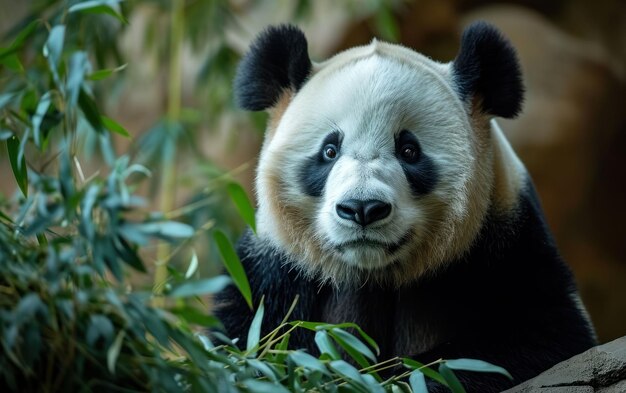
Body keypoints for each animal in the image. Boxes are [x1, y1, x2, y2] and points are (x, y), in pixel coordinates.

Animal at [213, 23, 596, 390]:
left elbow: (541, 332)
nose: (362, 208)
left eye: (409, 150)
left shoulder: (508, 240)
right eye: (329, 150)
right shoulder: (275, 265)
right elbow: (250, 341)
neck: (377, 273)